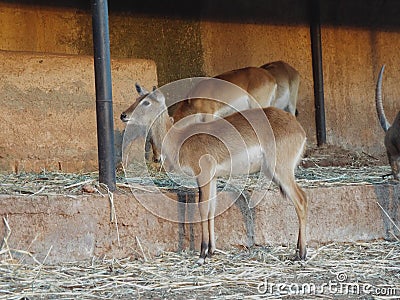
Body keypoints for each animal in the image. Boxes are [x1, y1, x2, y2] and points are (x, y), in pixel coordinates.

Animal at [126, 84, 310, 264]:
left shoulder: (203, 175)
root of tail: (299, 129)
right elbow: (211, 209)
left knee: (301, 199)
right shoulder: (213, 178)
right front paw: (211, 251)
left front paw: (202, 254)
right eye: (136, 99)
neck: (180, 139)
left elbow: (202, 208)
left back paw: (301, 254)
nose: (123, 115)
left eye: (146, 102)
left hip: (281, 170)